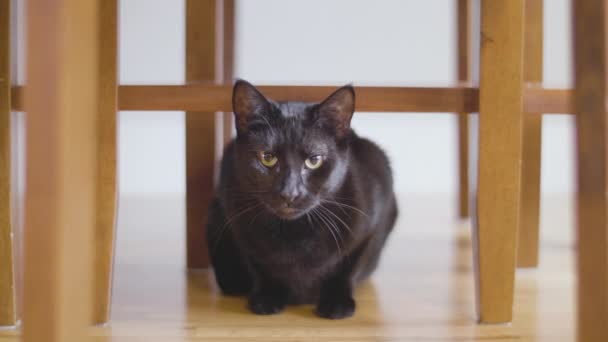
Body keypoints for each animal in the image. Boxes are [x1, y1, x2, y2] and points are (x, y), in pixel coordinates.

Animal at [208, 79, 400, 318]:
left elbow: (349, 266)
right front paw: (267, 297)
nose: (290, 193)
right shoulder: (236, 220)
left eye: (314, 160)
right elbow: (258, 264)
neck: (294, 232)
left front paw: (337, 303)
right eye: (267, 158)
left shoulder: (374, 220)